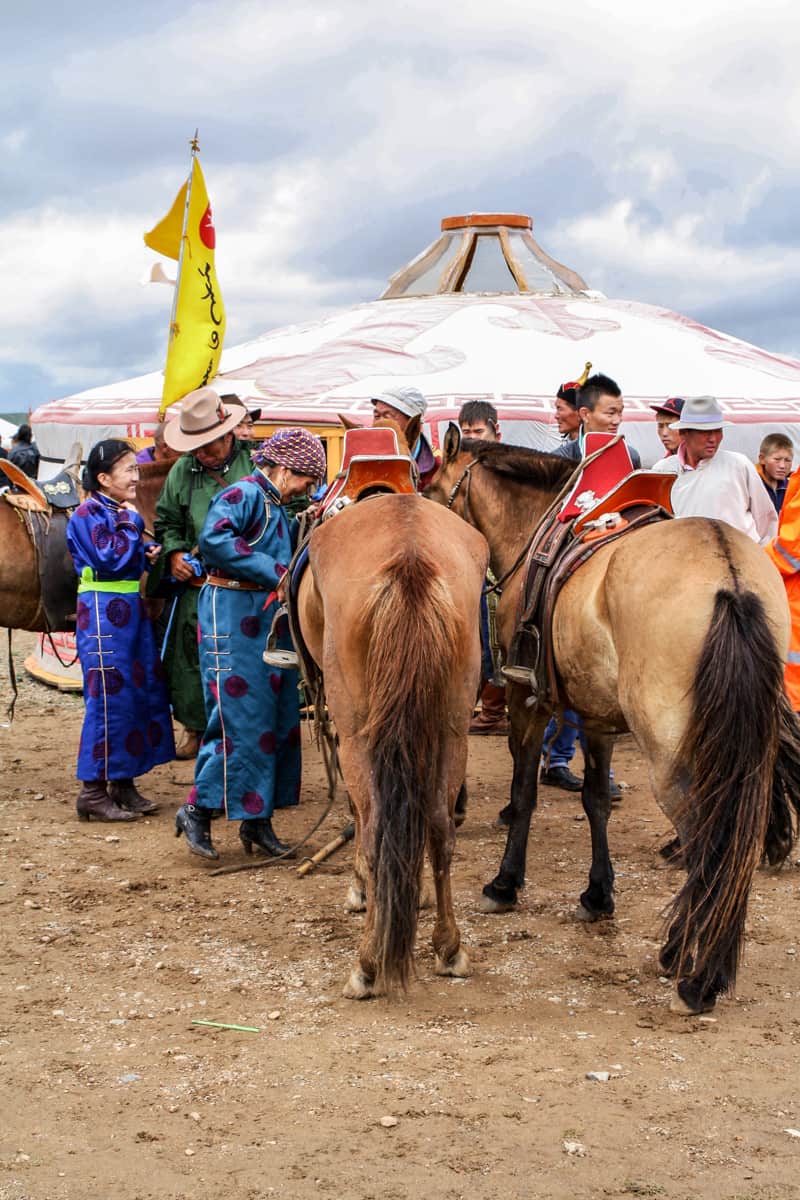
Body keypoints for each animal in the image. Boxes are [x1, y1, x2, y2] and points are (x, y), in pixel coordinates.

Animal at [296, 492, 489, 998]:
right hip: (451, 727)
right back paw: (449, 948)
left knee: (376, 828)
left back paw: (366, 964)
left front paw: (363, 888)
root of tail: (410, 559)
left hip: (358, 729)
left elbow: (359, 814)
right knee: (440, 827)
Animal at [429, 429, 800, 1012]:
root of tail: (728, 575)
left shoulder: (527, 701)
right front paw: (598, 893)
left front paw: (505, 883)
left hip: (674, 756)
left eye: (429, 487)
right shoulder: (598, 718)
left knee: (707, 840)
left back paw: (692, 969)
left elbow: (525, 794)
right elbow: (596, 801)